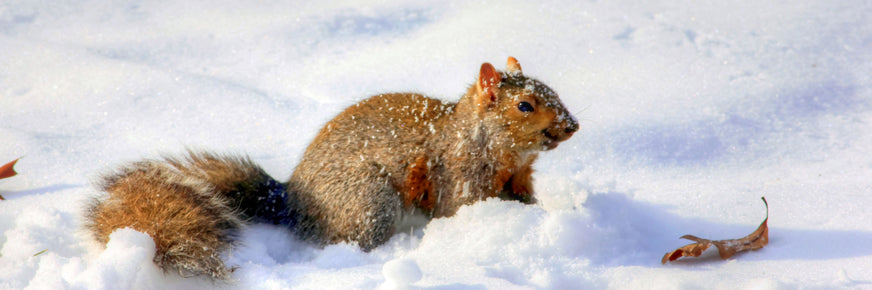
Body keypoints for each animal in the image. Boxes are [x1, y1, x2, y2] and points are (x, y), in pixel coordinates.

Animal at [85, 55, 580, 280]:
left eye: (553, 90)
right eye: (524, 105)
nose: (573, 126)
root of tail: (291, 200)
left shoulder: (520, 179)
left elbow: (527, 199)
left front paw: (542, 216)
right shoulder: (458, 178)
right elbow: (462, 208)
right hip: (368, 200)